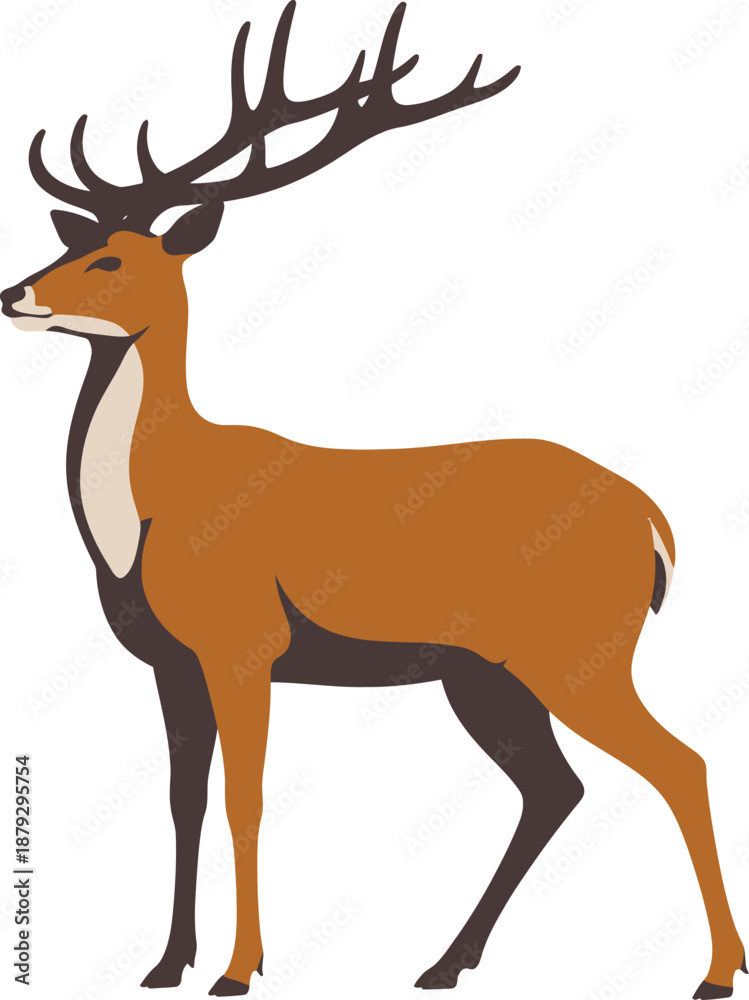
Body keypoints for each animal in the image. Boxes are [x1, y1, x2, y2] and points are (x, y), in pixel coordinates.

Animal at [1, 3, 744, 998]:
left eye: (112, 257)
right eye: (70, 241)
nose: (12, 294)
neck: (148, 512)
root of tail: (655, 524)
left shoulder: (243, 642)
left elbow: (245, 796)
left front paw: (239, 969)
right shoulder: (170, 660)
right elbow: (183, 797)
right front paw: (163, 964)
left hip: (579, 650)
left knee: (680, 763)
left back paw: (712, 972)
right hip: (487, 671)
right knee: (556, 786)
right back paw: (442, 962)